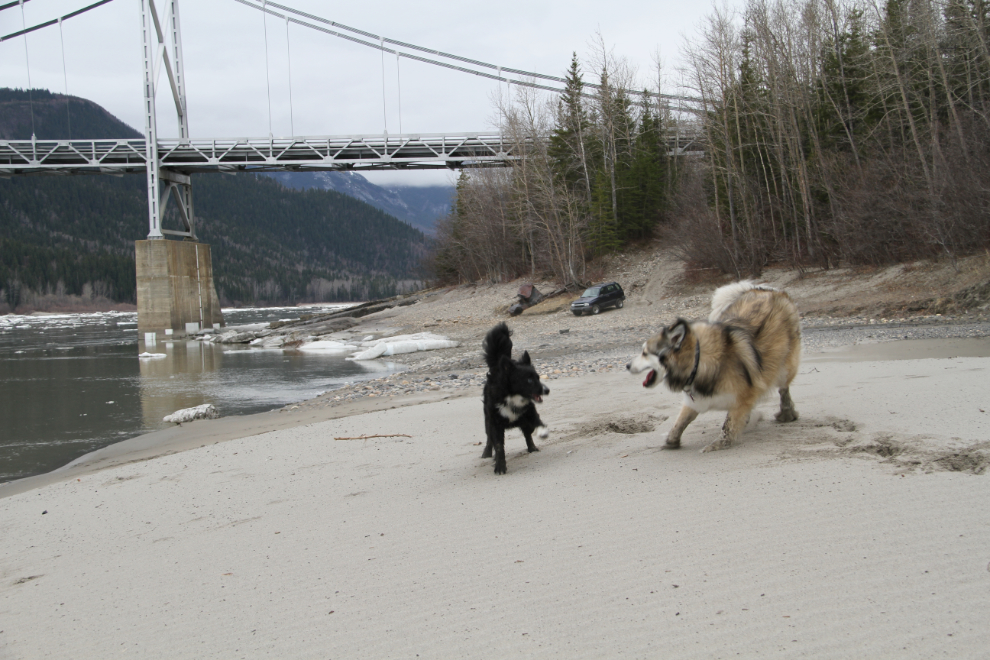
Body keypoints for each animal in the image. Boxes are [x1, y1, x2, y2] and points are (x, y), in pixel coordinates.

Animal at [482, 320, 552, 472]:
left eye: (538, 377)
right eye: (529, 380)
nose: (547, 390)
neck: (513, 396)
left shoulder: (529, 412)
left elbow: (536, 423)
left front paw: (543, 431)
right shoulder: (495, 422)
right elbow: (498, 445)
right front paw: (500, 466)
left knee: (527, 434)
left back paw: (532, 448)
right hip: (487, 419)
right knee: (489, 438)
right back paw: (487, 453)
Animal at [632, 282, 804, 456]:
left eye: (644, 353)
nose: (627, 365)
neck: (698, 361)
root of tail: (765, 290)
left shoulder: (742, 397)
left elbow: (728, 426)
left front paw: (719, 444)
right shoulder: (695, 399)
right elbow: (680, 422)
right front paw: (670, 441)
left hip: (785, 367)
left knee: (783, 388)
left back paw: (786, 412)